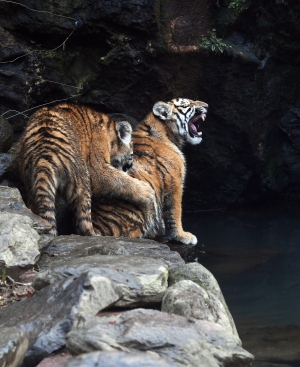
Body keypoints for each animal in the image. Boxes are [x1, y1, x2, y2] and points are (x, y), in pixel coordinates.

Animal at [15, 103, 157, 236]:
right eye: (132, 155)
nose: (130, 167)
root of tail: (43, 159)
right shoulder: (98, 169)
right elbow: (120, 180)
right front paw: (147, 193)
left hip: (32, 184)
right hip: (82, 180)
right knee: (84, 223)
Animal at [92, 99, 209, 246]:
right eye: (186, 103)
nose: (206, 106)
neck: (169, 134)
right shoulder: (175, 184)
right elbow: (175, 212)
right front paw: (183, 236)